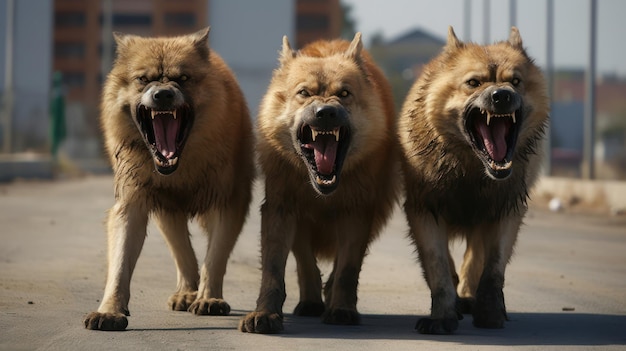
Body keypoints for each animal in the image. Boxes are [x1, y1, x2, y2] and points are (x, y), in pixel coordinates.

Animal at [83, 28, 254, 332]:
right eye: (143, 79)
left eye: (182, 78)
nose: (162, 94)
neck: (180, 167)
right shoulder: (131, 205)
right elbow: (119, 264)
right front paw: (109, 311)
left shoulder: (229, 202)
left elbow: (215, 256)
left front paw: (209, 299)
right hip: (167, 212)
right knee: (182, 251)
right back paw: (186, 292)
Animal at [236, 33, 398, 336]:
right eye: (304, 93)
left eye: (344, 94)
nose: (325, 112)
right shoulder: (279, 209)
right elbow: (273, 270)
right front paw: (265, 313)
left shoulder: (357, 212)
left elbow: (347, 269)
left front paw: (342, 309)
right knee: (304, 261)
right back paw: (311, 301)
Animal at [400, 27, 544, 336]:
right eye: (473, 83)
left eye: (515, 81)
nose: (502, 96)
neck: (471, 170)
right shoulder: (423, 210)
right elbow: (439, 267)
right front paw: (442, 316)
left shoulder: (506, 211)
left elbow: (492, 268)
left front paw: (490, 312)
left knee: (474, 260)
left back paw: (469, 298)